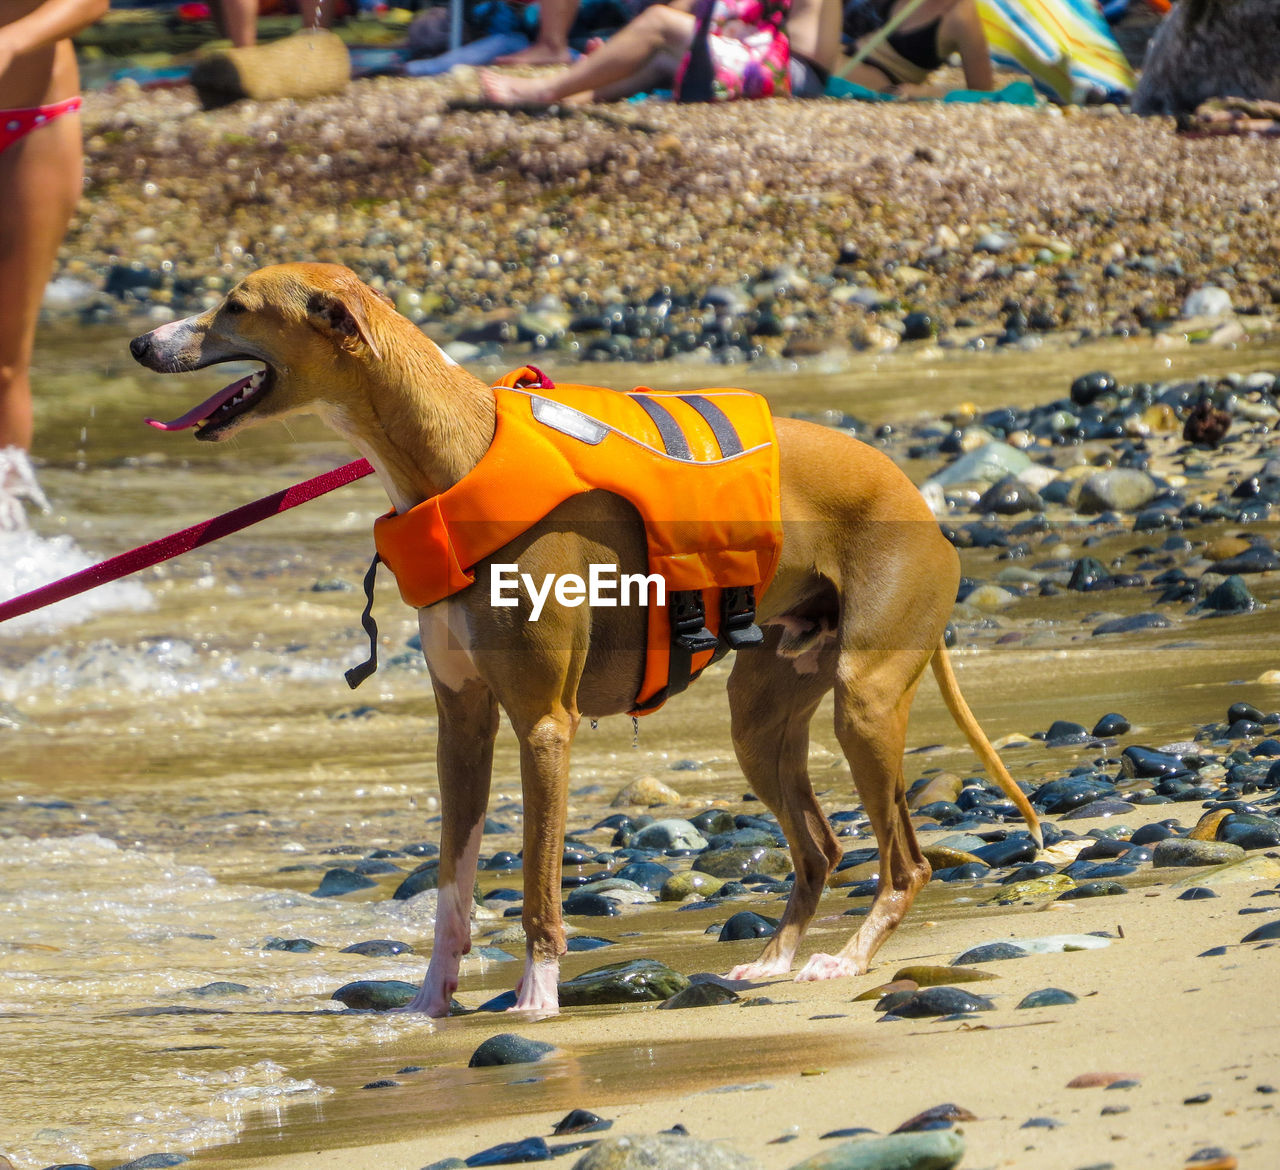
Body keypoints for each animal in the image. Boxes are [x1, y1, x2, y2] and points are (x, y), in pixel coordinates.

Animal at [129, 262, 1034, 1013]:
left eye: (236, 305)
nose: (141, 342)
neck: (453, 457)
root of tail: (922, 507)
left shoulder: (543, 724)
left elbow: (536, 884)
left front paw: (535, 1001)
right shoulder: (462, 725)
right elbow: (453, 890)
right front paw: (428, 1005)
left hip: (865, 699)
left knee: (906, 859)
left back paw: (845, 958)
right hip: (761, 718)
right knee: (820, 847)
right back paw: (774, 959)